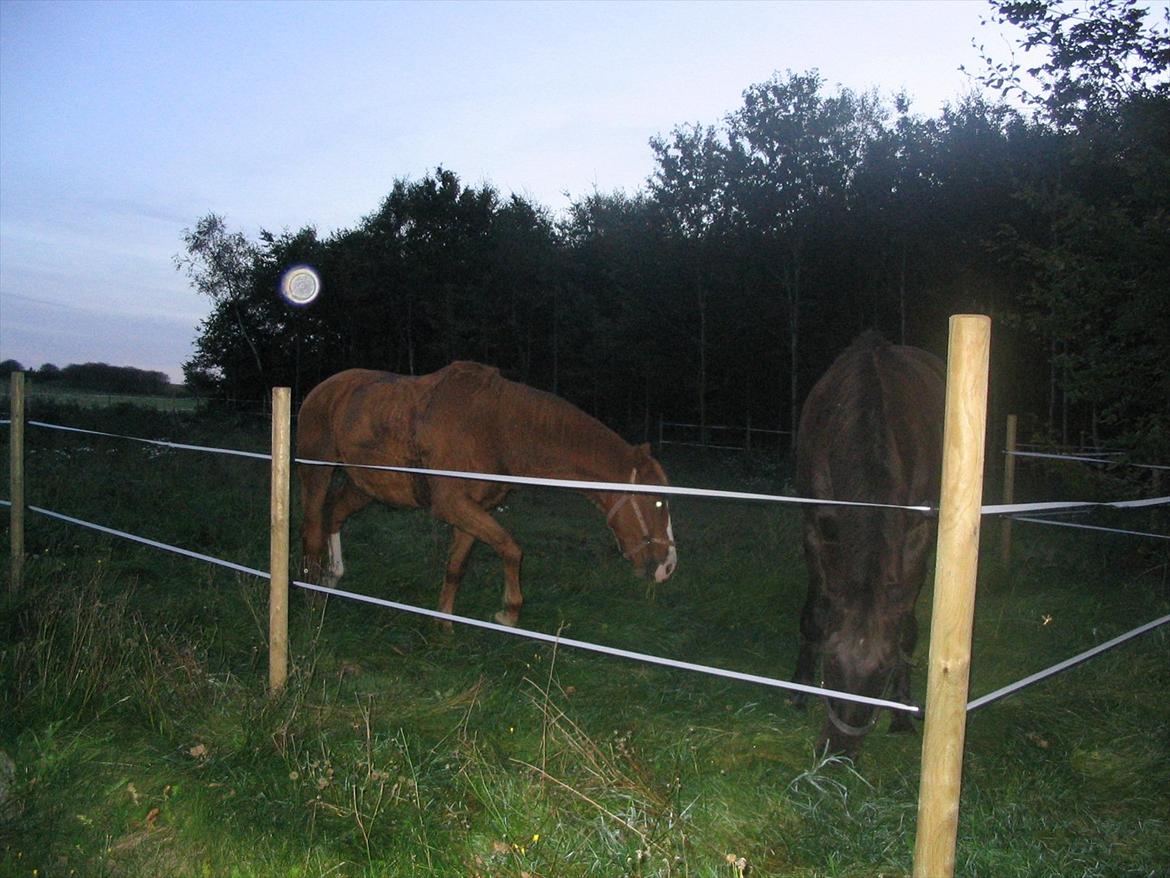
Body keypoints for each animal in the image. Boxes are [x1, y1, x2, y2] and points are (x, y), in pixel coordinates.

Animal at [294, 360, 678, 627]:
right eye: (657, 500)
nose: (668, 567)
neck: (496, 427)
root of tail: (321, 390)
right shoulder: (452, 505)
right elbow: (511, 548)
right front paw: (509, 612)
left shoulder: (472, 511)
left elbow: (456, 568)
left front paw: (444, 626)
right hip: (317, 472)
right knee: (312, 528)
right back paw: (311, 596)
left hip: (366, 486)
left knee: (333, 515)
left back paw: (332, 579)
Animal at [790, 330, 945, 758]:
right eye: (831, 665)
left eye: (883, 671)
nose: (838, 753)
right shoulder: (815, 525)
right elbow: (815, 613)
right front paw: (798, 692)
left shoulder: (917, 535)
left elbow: (906, 626)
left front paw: (902, 713)